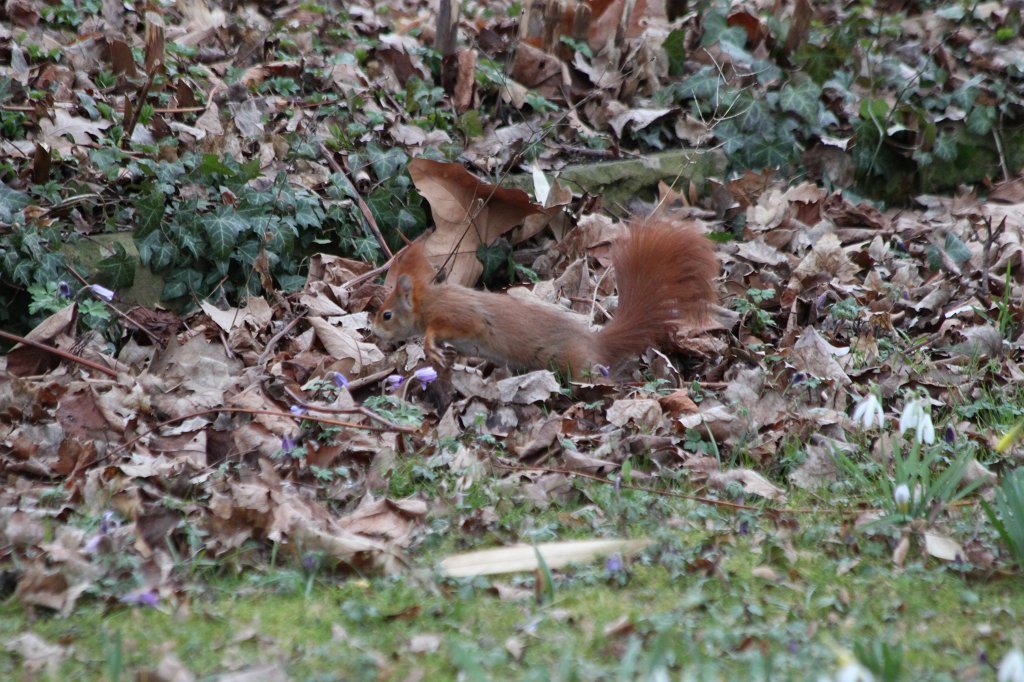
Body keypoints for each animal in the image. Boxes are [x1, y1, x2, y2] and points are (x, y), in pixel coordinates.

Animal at [373, 218, 719, 379]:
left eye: (386, 314)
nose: (373, 333)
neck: (429, 302)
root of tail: (596, 343)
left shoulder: (457, 315)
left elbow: (451, 326)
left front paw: (430, 343)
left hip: (575, 361)